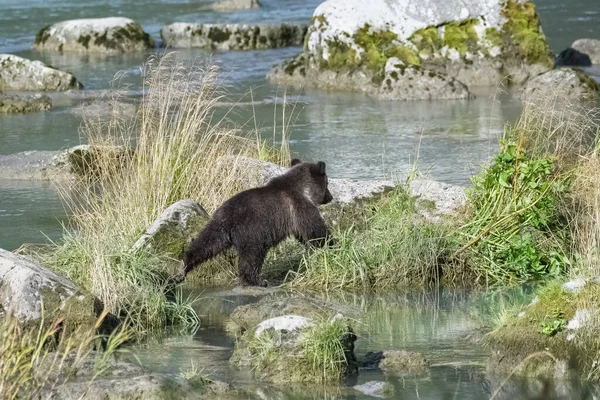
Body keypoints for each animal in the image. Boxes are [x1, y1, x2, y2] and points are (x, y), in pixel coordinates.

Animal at [172, 158, 332, 286]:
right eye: (327, 182)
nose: (330, 197)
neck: (304, 189)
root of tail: (230, 217)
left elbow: (303, 234)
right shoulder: (299, 207)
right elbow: (315, 231)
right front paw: (330, 244)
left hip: (218, 223)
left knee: (206, 243)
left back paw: (183, 268)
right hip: (253, 231)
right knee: (251, 257)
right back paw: (258, 281)